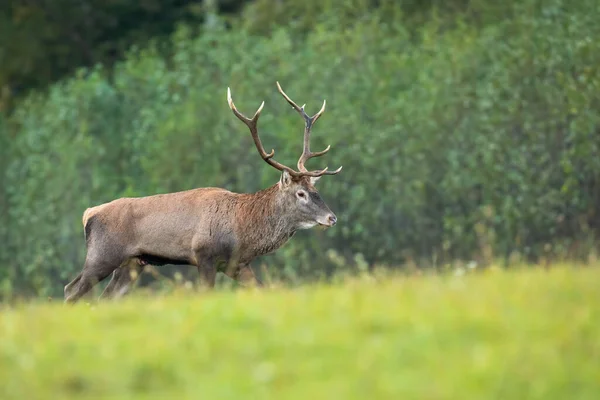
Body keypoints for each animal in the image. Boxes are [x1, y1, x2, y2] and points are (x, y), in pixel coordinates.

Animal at [63, 82, 342, 304]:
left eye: (315, 189)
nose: (332, 218)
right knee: (71, 290)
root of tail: (88, 213)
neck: (243, 230)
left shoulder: (236, 265)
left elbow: (260, 290)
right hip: (102, 255)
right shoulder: (204, 255)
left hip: (132, 264)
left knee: (103, 297)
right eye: (301, 194)